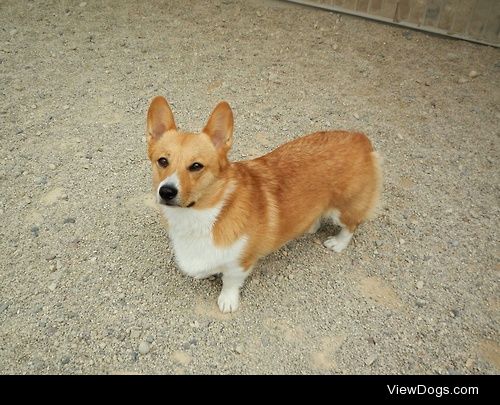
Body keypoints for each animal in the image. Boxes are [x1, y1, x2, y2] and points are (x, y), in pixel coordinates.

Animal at [146, 97, 380, 312]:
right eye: (163, 161)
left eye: (196, 166)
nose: (166, 191)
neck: (205, 213)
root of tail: (360, 138)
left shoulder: (240, 262)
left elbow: (230, 281)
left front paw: (227, 301)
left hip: (345, 208)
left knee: (352, 225)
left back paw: (337, 243)